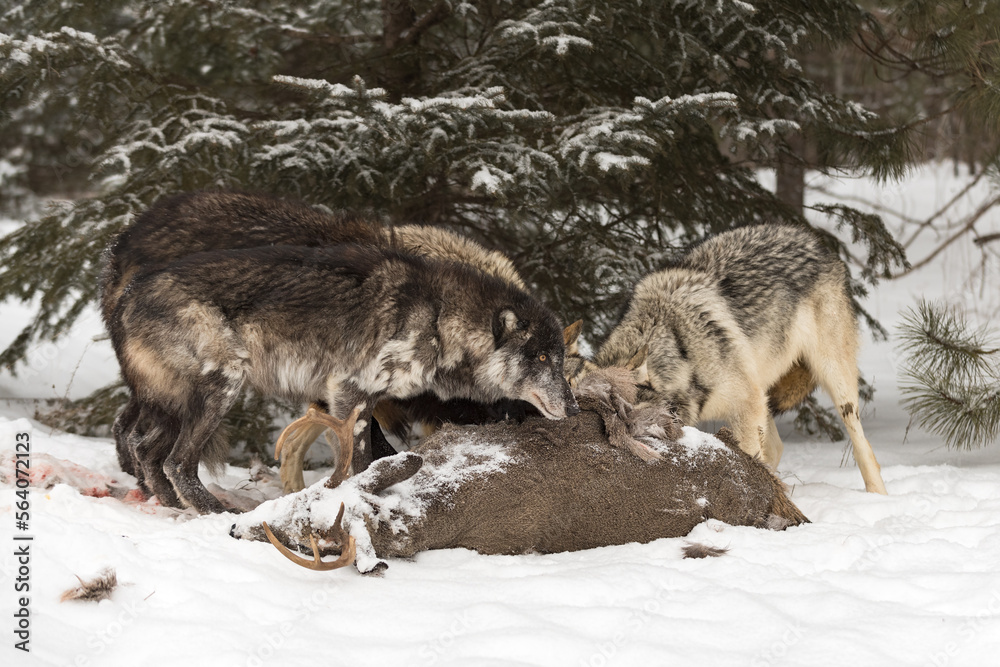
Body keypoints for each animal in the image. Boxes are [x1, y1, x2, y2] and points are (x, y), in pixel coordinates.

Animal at [110, 243, 578, 513]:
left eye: (562, 361)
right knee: (176, 461)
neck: (438, 317)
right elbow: (359, 461)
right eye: (540, 357)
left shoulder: (356, 401)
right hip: (223, 386)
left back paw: (168, 503)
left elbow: (372, 457)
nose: (574, 409)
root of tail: (127, 296)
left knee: (145, 449)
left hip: (173, 403)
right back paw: (214, 511)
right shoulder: (349, 395)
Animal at [578, 225, 887, 494]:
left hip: (833, 383)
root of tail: (812, 239)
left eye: (625, 413)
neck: (683, 355)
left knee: (864, 447)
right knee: (776, 448)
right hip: (762, 392)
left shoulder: (745, 407)